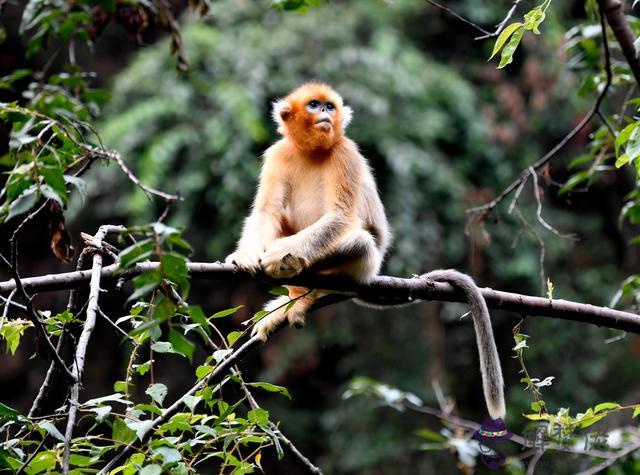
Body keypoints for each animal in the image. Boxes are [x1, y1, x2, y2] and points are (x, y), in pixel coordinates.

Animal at [228, 82, 508, 420]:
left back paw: (302, 286)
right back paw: (295, 295)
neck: (311, 152)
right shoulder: (278, 154)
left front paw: (277, 255)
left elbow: (339, 216)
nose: (325, 114)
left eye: (329, 107)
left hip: (364, 263)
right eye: (313, 105)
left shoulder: (345, 152)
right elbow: (266, 211)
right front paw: (246, 255)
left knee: (358, 241)